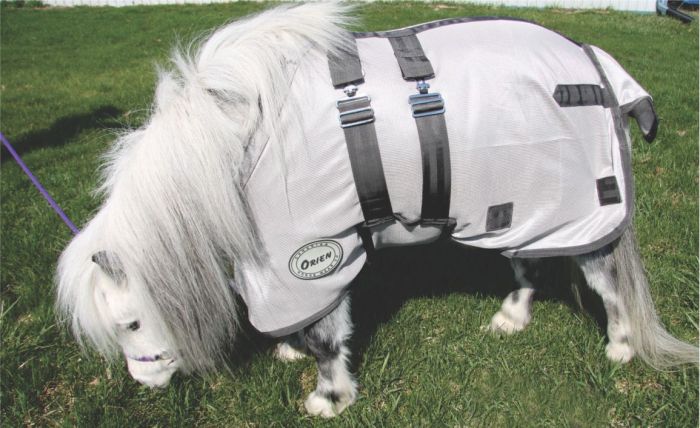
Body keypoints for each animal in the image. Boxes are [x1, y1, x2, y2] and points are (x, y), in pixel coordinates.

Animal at [56, 3, 698, 418]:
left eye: (130, 323)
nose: (144, 382)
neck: (233, 148)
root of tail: (593, 61)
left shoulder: (309, 254)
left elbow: (327, 338)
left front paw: (329, 398)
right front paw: (289, 349)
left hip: (582, 213)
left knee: (607, 281)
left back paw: (621, 348)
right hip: (519, 210)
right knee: (528, 264)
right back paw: (511, 319)